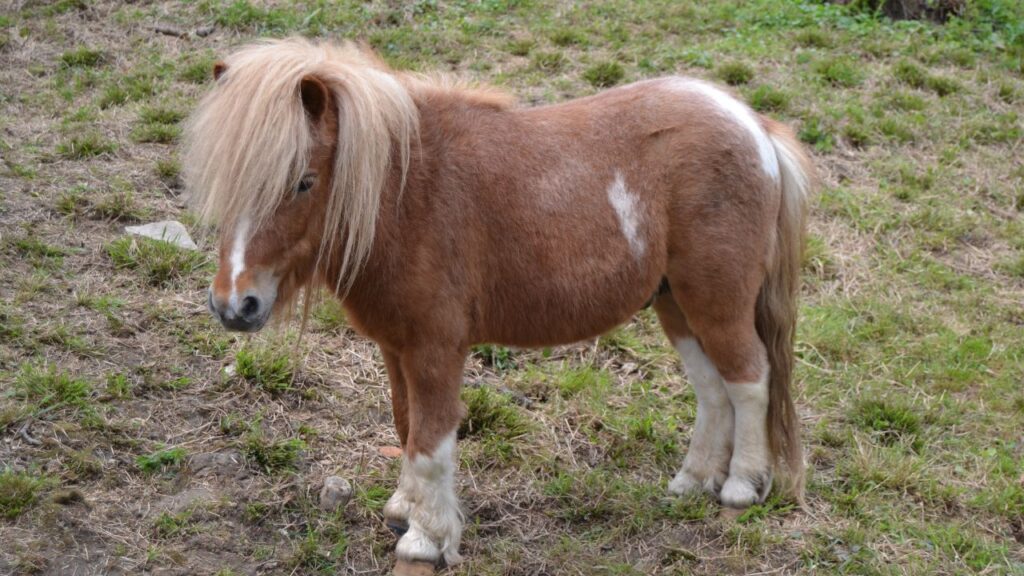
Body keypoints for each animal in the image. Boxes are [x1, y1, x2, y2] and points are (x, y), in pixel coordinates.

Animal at [183, 38, 813, 573]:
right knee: (713, 389)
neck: (408, 193)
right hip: (676, 306)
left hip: (716, 301)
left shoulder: (436, 349)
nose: (235, 305)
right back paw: (692, 482)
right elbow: (406, 425)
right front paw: (403, 509)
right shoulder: (396, 348)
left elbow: (432, 443)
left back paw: (740, 487)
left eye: (304, 182)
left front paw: (426, 540)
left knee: (749, 379)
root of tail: (753, 126)